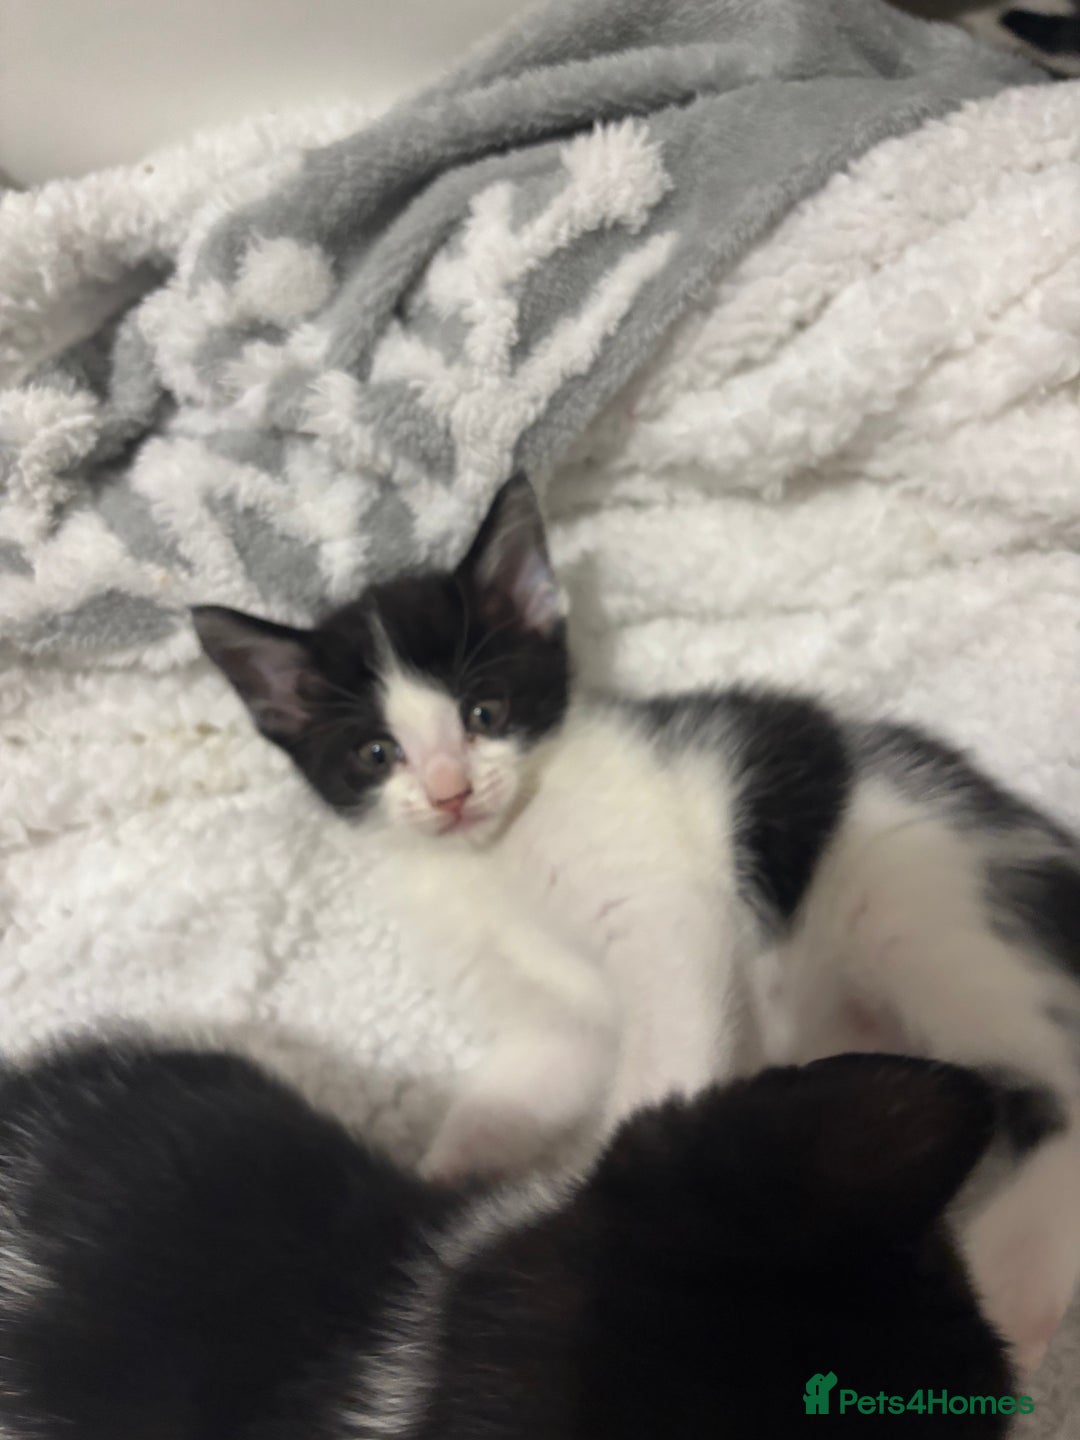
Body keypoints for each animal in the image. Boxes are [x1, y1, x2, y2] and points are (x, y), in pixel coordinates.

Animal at [193, 473, 1080, 1374]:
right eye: (376, 754)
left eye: (485, 712)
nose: (450, 792)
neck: (494, 856)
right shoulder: (554, 1022)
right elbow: (525, 1083)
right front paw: (441, 1181)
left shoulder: (666, 913)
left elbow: (663, 1050)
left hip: (930, 912)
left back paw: (1013, 1282)